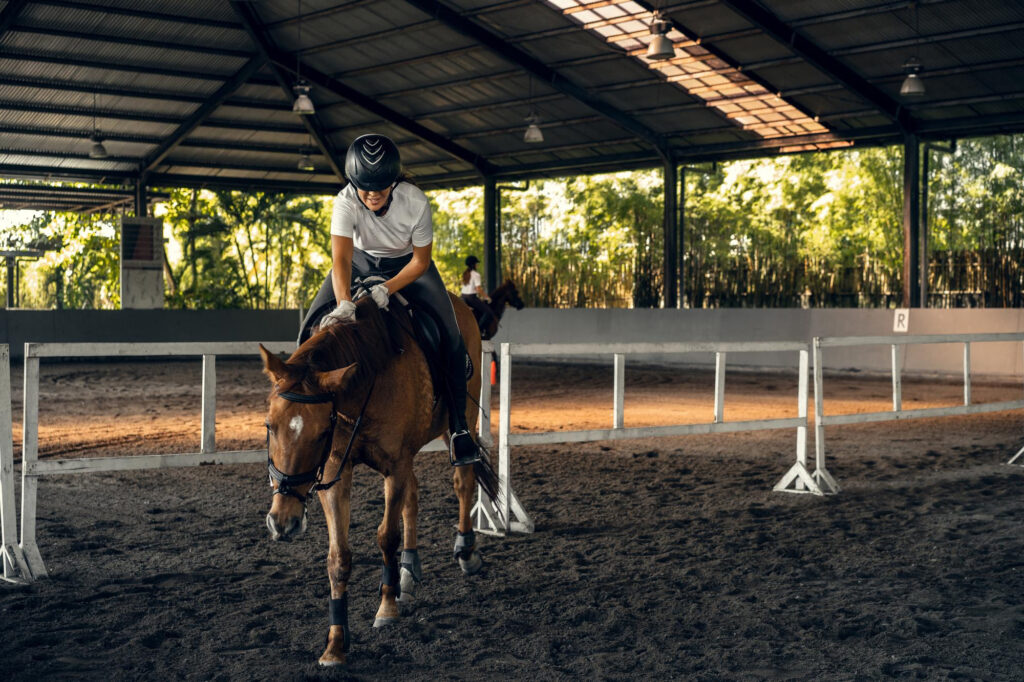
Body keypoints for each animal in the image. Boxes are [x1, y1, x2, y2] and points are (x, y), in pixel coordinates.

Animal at [254, 292, 495, 663]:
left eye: (321, 432)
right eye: (269, 426)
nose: (284, 522)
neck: (365, 382)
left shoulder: (394, 465)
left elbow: (386, 537)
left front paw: (386, 608)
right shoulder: (337, 471)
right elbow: (339, 557)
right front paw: (335, 644)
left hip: (460, 419)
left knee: (463, 482)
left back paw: (464, 552)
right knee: (413, 496)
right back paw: (408, 573)